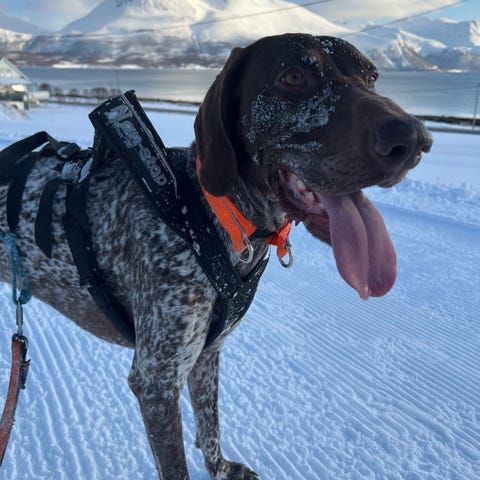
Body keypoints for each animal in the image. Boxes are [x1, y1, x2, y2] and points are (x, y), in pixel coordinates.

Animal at [0, 34, 432, 479]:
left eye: (372, 77)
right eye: (293, 76)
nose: (414, 139)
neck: (207, 216)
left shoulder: (206, 354)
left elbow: (210, 424)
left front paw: (220, 467)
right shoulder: (156, 382)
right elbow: (176, 465)